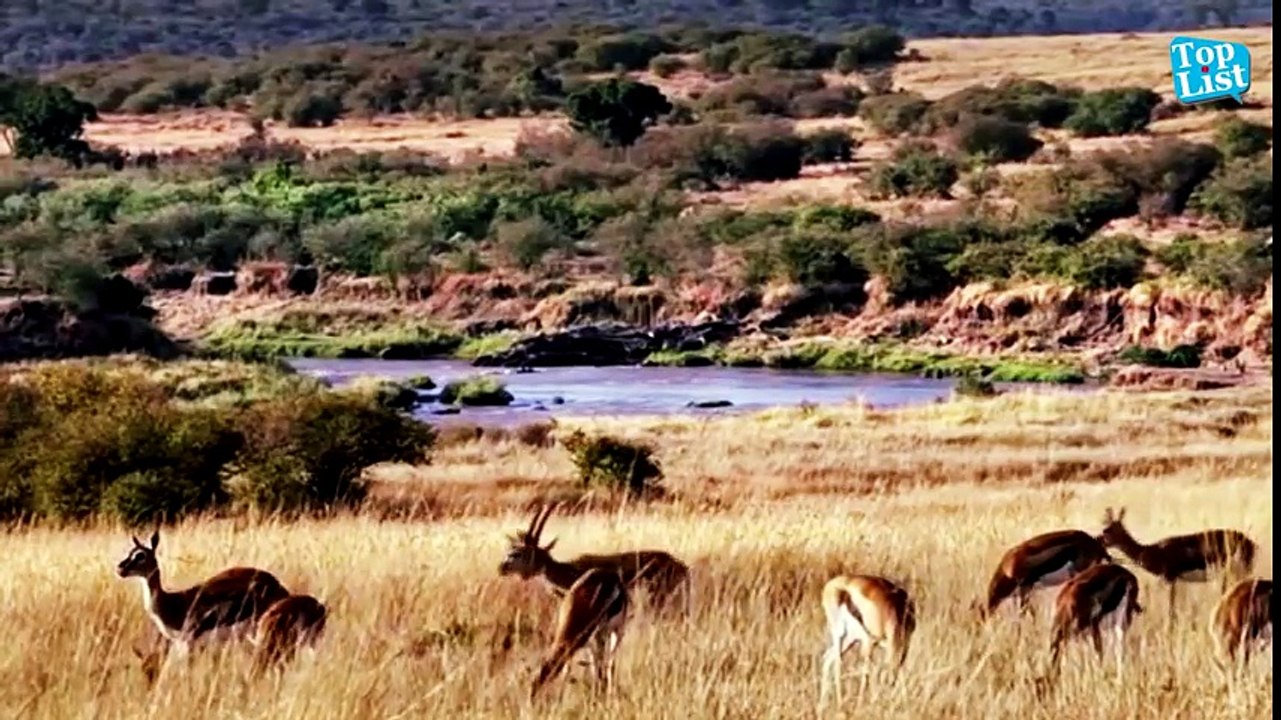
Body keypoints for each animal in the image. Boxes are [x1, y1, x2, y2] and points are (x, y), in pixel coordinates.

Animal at [115, 530, 291, 682]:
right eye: (130, 552)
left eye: (141, 555)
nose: (120, 568)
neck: (173, 603)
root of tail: (280, 587)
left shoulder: (190, 643)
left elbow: (187, 673)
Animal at [529, 567, 630, 701]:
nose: (531, 703)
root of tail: (613, 575)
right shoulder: (583, 644)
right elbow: (569, 670)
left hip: (615, 632)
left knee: (610, 664)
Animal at [818, 574, 917, 708]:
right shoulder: (870, 642)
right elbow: (866, 674)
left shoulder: (903, 646)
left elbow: (900, 672)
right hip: (842, 633)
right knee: (838, 663)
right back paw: (839, 704)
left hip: (850, 639)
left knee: (828, 657)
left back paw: (822, 706)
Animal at [1097, 507, 1256, 623]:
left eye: (1106, 530)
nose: (1098, 540)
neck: (1152, 551)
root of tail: (1252, 543)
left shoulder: (1170, 578)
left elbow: (1170, 608)